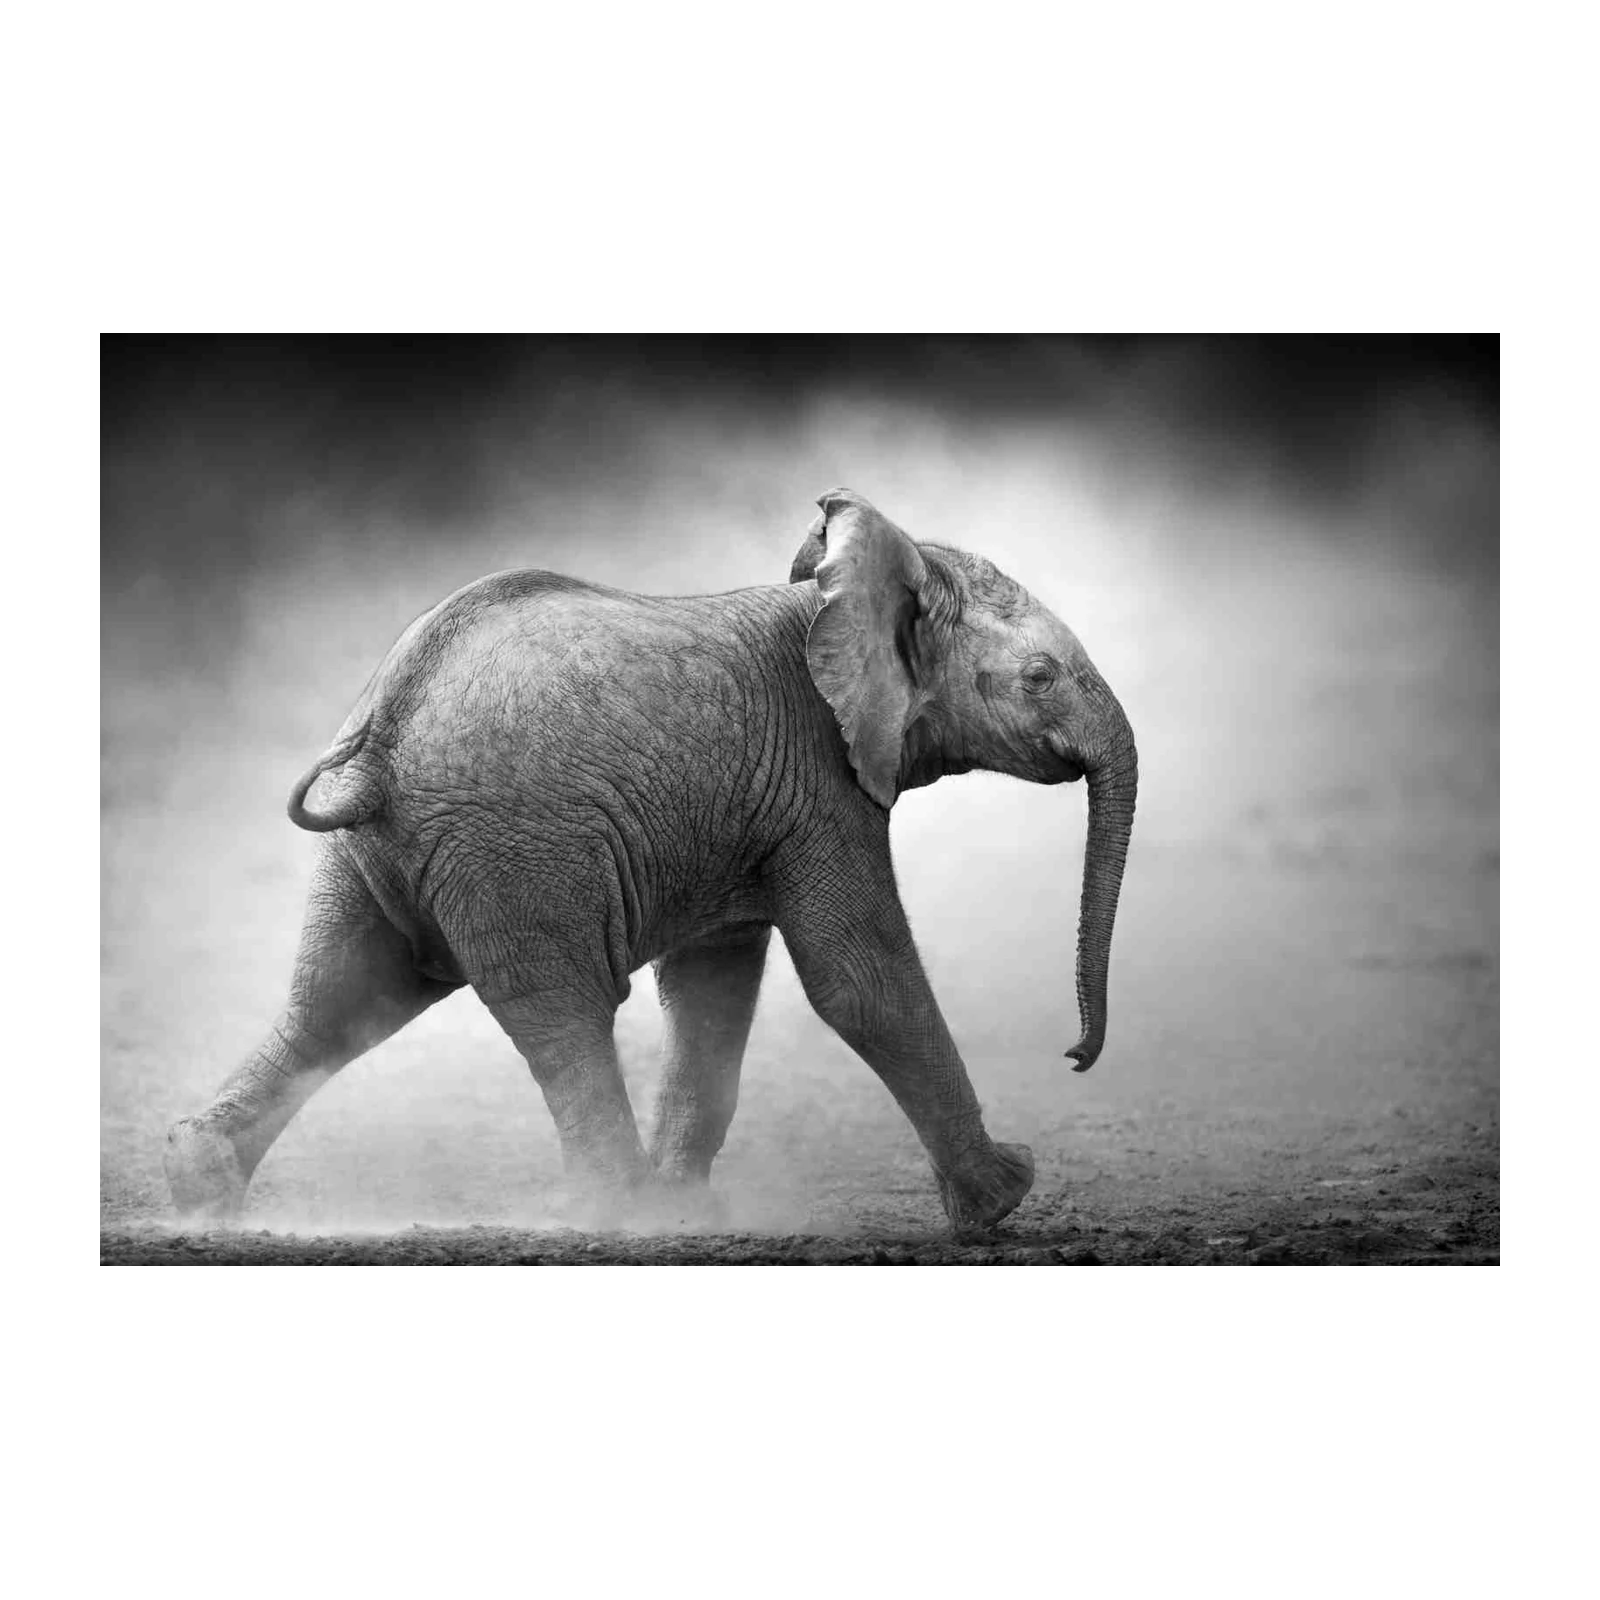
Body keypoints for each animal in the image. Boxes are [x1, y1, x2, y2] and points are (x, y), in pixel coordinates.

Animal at [164, 487, 1138, 1232]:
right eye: (1042, 677)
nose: (1075, 1057)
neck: (839, 595)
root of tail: (384, 730)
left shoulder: (753, 806)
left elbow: (713, 988)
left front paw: (688, 1211)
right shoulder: (824, 784)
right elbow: (860, 980)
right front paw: (1006, 1195)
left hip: (384, 854)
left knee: (343, 1000)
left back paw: (198, 1190)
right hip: (519, 848)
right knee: (563, 1014)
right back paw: (616, 1210)